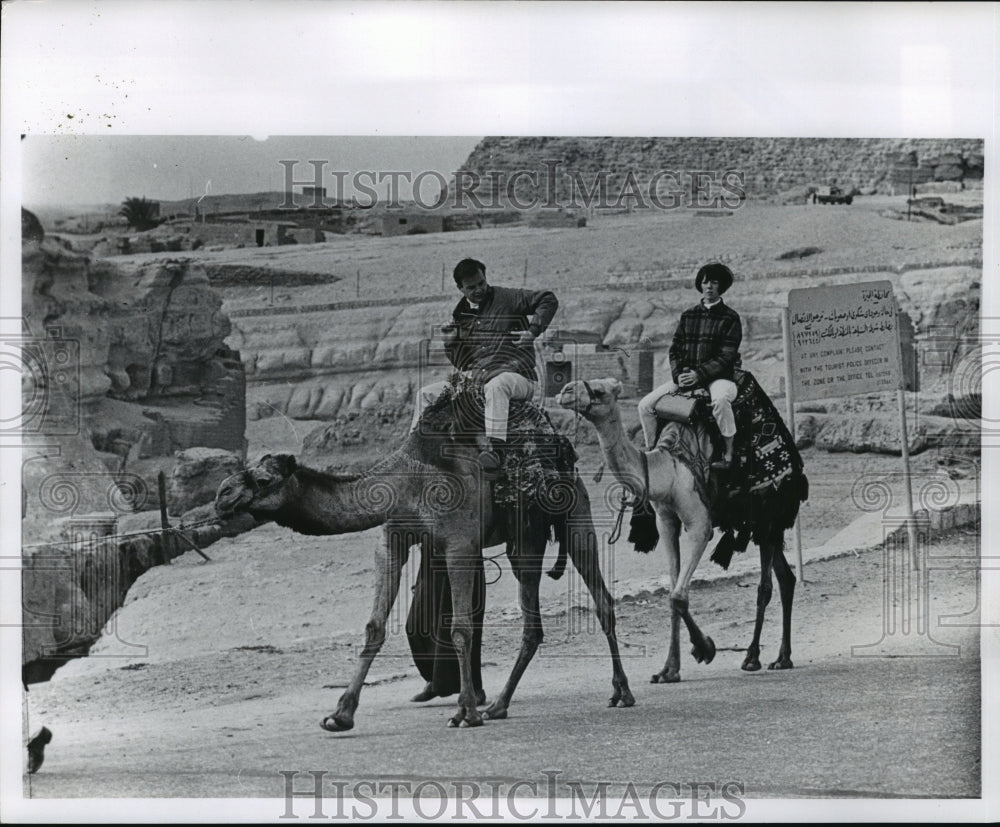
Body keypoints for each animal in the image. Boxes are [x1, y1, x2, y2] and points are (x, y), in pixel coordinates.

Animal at [214, 402, 632, 732]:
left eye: (263, 478)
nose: (221, 495)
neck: (406, 483)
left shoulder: (460, 544)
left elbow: (460, 628)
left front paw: (464, 713)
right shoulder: (391, 541)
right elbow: (374, 627)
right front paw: (340, 714)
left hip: (573, 516)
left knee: (600, 601)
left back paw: (621, 692)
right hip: (524, 541)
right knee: (538, 624)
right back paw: (498, 705)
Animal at [560, 378, 808, 684]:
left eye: (599, 391)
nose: (565, 391)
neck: (670, 469)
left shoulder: (699, 524)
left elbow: (679, 595)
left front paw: (705, 649)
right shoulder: (666, 521)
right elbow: (672, 593)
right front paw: (668, 670)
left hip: (769, 512)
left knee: (765, 585)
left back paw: (753, 657)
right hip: (762, 524)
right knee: (785, 577)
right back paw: (782, 657)